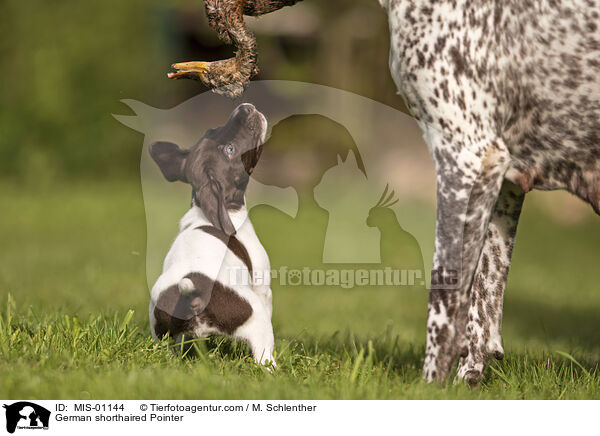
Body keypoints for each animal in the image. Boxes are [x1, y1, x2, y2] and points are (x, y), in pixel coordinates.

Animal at [149, 104, 276, 366]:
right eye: (230, 150)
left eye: (212, 129)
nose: (244, 108)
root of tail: (190, 296)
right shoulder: (263, 286)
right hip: (257, 321)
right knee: (265, 360)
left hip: (162, 336)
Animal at [168, 0, 600, 384]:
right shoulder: (504, 180)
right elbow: (482, 308)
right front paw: (468, 377)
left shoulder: (465, 157)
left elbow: (444, 308)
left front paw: (431, 390)